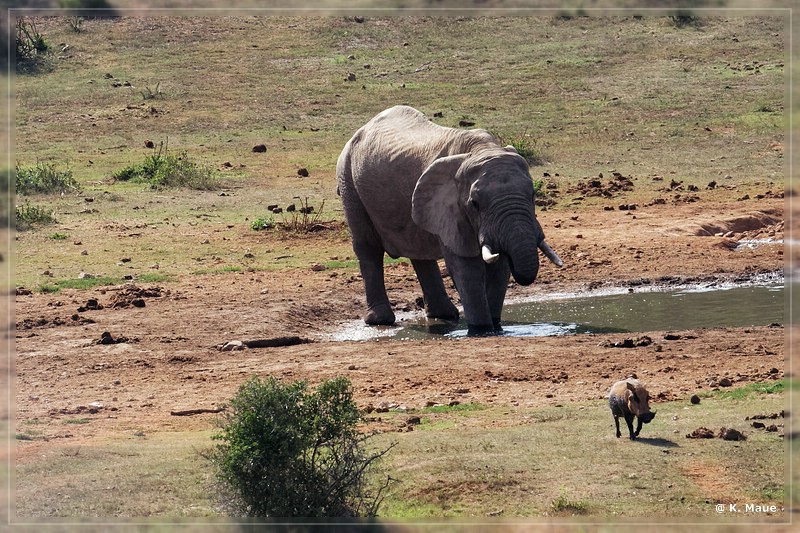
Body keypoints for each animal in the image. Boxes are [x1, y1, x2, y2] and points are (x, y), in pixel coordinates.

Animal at [334, 105, 560, 334]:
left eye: (533, 195)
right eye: (474, 204)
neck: (480, 150)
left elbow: (500, 267)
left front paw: (496, 328)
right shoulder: (449, 209)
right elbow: (465, 267)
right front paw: (481, 330)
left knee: (418, 250)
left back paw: (445, 315)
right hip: (348, 179)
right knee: (368, 247)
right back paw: (380, 320)